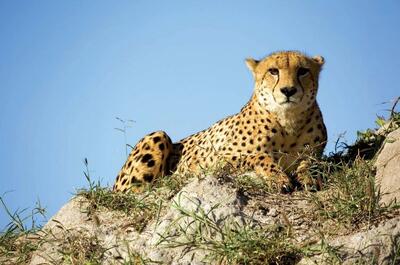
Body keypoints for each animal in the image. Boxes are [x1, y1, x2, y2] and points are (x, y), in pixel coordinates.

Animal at [113, 51, 328, 192]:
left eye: (303, 71)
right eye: (273, 71)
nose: (288, 90)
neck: (288, 121)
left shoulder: (313, 153)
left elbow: (311, 163)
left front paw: (308, 177)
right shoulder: (215, 161)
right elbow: (259, 156)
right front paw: (278, 178)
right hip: (157, 136)